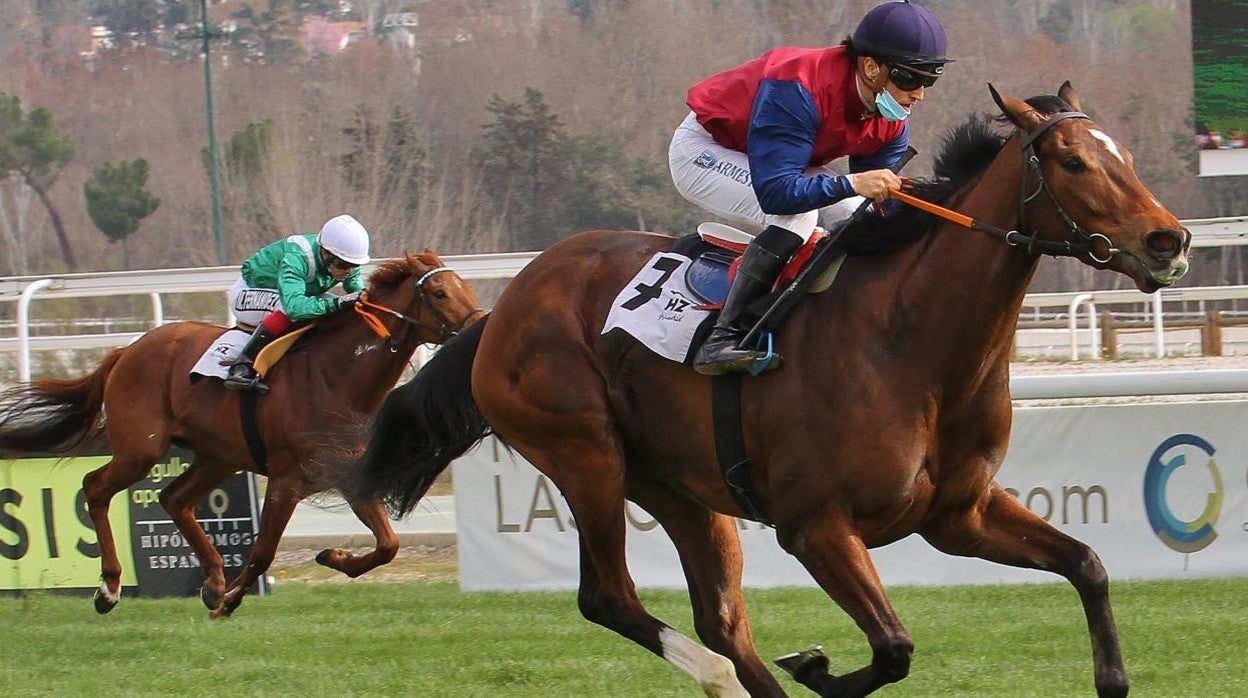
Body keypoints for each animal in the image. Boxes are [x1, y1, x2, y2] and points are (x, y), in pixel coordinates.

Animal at [0, 249, 481, 616]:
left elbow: (389, 545)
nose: (479, 326)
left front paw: (332, 557)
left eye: (469, 290)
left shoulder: (348, 475)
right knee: (95, 488)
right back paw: (110, 588)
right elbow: (264, 550)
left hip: (218, 455)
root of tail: (127, 350)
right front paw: (231, 601)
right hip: (141, 448)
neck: (336, 376)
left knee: (174, 498)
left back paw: (212, 581)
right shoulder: (287, 480)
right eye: (440, 292)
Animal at [349, 84, 1188, 694]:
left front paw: (1113, 676)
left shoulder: (959, 514)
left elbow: (1088, 564)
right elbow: (894, 646)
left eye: (1124, 154)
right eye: (1074, 164)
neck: (911, 341)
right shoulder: (815, 526)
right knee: (611, 597)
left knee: (721, 617)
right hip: (583, 453)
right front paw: (816, 666)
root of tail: (506, 307)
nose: (1169, 240)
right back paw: (717, 675)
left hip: (677, 487)